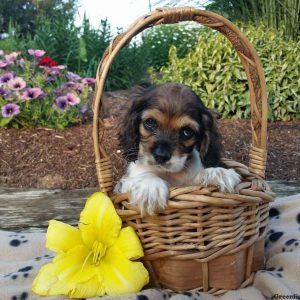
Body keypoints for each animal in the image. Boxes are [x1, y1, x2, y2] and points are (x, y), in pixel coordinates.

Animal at [115, 83, 241, 214]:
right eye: (150, 122)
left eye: (187, 131)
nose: (161, 155)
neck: (168, 174)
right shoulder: (125, 183)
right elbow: (143, 176)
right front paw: (150, 187)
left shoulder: (189, 184)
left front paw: (220, 172)